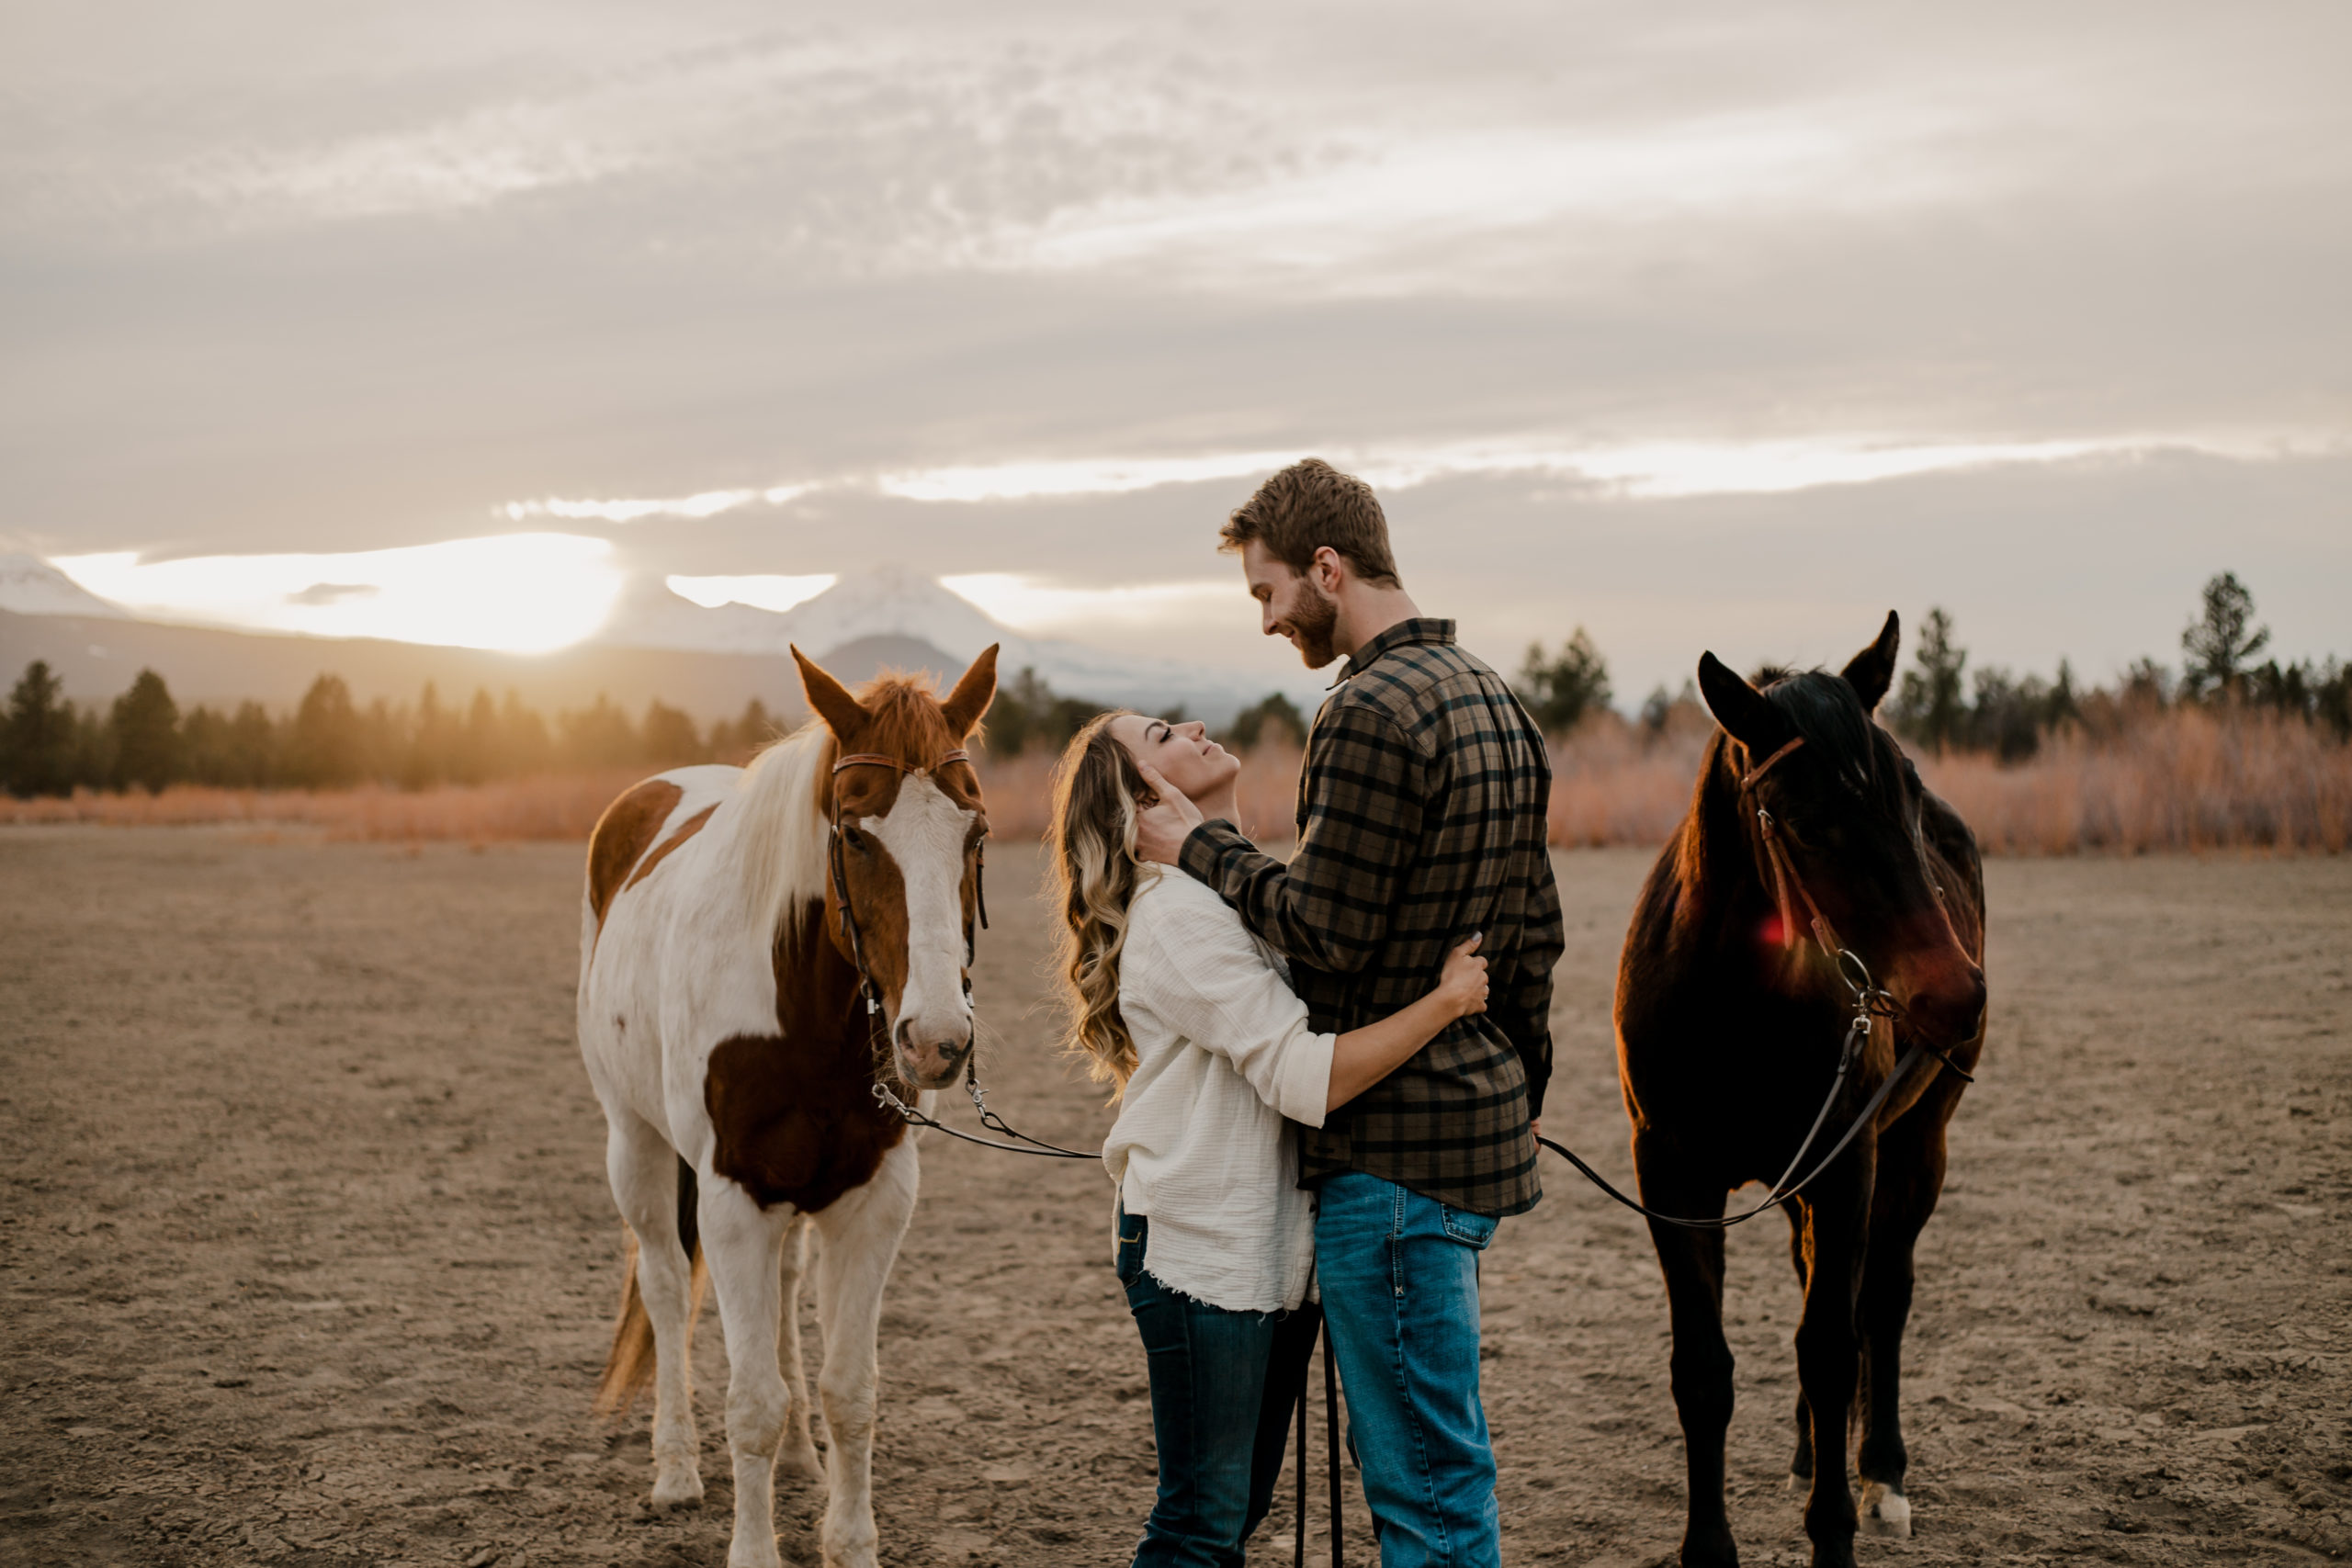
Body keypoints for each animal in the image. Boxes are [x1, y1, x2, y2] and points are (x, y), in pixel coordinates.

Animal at [588, 644, 1001, 1568]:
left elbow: (850, 1390)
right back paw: (675, 1467)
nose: (936, 1040)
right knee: (665, 1287)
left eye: (977, 832)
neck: (803, 1015)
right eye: (854, 833)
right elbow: (752, 1404)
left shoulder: (872, 1200)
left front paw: (850, 1541)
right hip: (634, 1141)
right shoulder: (733, 1196)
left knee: (779, 1298)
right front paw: (755, 1547)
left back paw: (803, 1461)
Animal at [1618, 615, 1984, 1568]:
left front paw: (1836, 1533)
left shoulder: (1848, 1163)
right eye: (1806, 825)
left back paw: (1880, 1470)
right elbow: (1703, 1369)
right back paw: (1806, 1451)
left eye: (1908, 793)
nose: (1955, 994)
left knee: (1881, 1300)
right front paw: (1709, 1546)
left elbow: (1831, 1347)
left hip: (1916, 1147)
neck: (1734, 1005)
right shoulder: (1672, 1177)